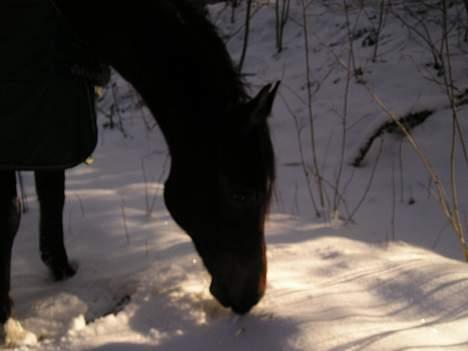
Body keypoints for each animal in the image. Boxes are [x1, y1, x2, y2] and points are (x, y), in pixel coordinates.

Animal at [0, 0, 278, 322]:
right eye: (240, 194)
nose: (252, 297)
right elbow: (10, 215)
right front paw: (5, 317)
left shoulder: (52, 127)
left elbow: (52, 196)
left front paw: (63, 273)